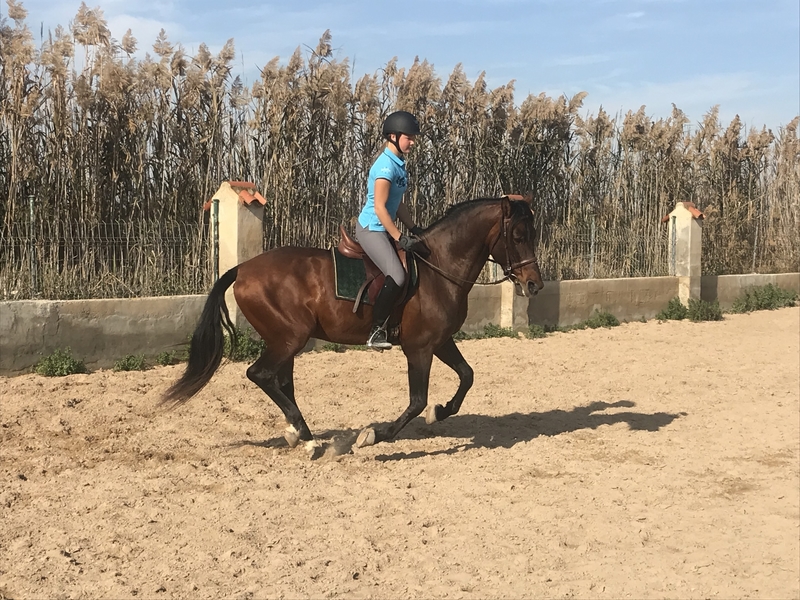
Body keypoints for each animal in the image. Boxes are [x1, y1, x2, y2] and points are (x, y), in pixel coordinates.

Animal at [161, 195, 544, 455]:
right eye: (519, 236)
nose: (534, 285)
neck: (438, 268)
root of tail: (243, 268)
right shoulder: (419, 348)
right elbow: (417, 401)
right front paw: (374, 435)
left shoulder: (440, 341)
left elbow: (467, 376)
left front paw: (441, 412)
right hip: (289, 338)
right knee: (261, 375)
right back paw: (307, 437)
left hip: (284, 340)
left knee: (280, 382)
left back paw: (298, 432)